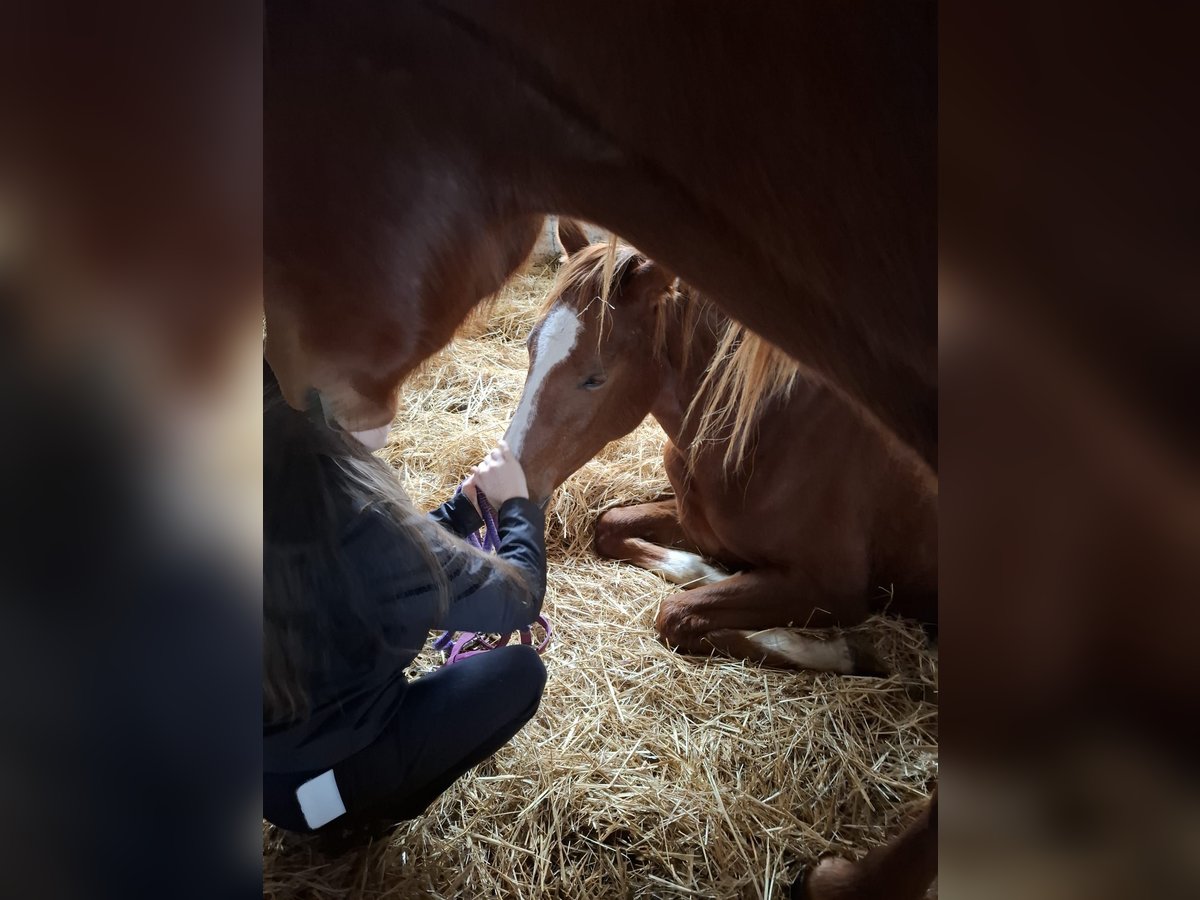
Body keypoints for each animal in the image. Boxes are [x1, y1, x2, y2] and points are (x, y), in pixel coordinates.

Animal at [506, 224, 936, 676]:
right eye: (531, 346)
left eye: (595, 378)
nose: (501, 483)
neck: (766, 436)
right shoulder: (697, 524)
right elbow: (610, 525)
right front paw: (711, 571)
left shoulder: (837, 589)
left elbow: (676, 614)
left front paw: (848, 651)